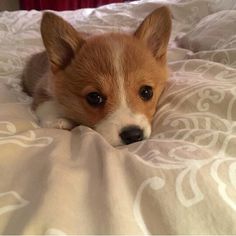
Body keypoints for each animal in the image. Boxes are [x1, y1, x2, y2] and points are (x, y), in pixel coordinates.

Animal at [21, 6, 171, 146]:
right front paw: (58, 121)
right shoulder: (42, 88)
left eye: (146, 92)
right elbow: (48, 105)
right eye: (94, 97)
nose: (133, 135)